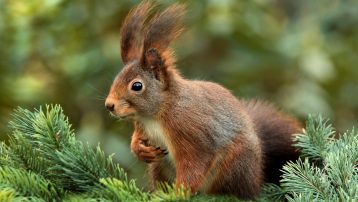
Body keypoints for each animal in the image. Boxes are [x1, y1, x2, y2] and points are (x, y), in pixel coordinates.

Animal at [105, 1, 300, 200]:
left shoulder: (191, 131)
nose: (109, 105)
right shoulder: (142, 125)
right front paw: (139, 149)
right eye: (116, 78)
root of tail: (256, 178)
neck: (157, 114)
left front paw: (177, 194)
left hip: (234, 164)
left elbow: (194, 165)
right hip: (160, 166)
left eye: (137, 86)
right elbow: (137, 138)